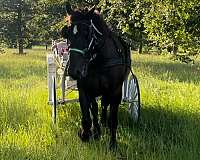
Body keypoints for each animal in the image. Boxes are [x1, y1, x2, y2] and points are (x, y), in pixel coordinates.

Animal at [65, 5, 131, 150]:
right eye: (67, 33)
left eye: (87, 32)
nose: (73, 71)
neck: (99, 60)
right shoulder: (85, 90)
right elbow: (88, 116)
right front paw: (86, 134)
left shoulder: (115, 91)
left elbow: (113, 119)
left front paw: (113, 144)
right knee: (96, 108)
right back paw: (97, 130)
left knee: (104, 105)